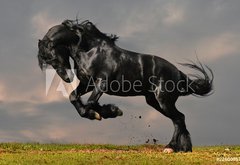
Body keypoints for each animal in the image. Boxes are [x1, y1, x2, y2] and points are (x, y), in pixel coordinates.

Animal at [37, 19, 214, 152]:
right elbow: (74, 98)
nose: (67, 78)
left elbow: (91, 102)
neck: (90, 51)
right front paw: (100, 113)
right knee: (179, 119)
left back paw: (171, 147)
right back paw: (183, 148)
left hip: (164, 101)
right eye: (47, 61)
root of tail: (178, 73)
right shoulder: (87, 83)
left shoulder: (101, 83)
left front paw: (109, 112)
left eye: (52, 57)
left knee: (178, 118)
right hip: (154, 102)